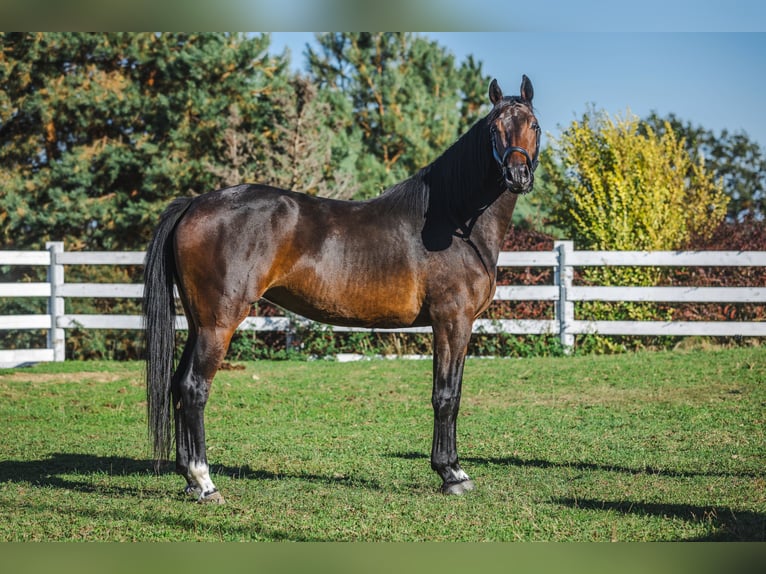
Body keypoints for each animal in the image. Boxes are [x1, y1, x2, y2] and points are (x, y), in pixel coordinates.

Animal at [142, 76, 540, 504]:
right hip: (219, 323)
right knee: (194, 387)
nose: (517, 175)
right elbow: (446, 396)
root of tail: (194, 203)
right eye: (494, 129)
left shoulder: (458, 325)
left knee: (178, 385)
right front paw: (452, 473)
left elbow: (454, 392)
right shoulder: (452, 322)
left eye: (533, 125)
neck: (449, 220)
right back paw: (204, 481)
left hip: (199, 322)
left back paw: (188, 477)